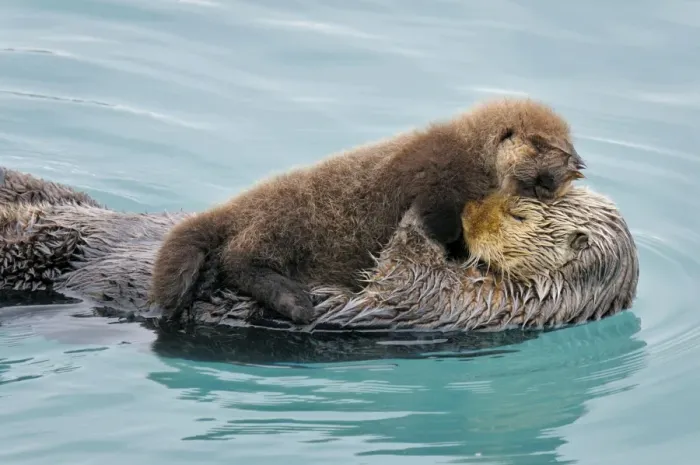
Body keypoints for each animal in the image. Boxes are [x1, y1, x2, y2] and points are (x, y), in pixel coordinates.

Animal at [0, 167, 636, 333]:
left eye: (520, 213)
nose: (463, 213)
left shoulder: (470, 305)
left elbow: (405, 277)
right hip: (56, 199)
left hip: (36, 253)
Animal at [149, 98, 586, 325]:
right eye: (546, 145)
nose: (575, 163)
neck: (476, 158)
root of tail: (239, 207)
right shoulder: (440, 177)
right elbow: (442, 219)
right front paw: (457, 246)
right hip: (284, 222)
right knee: (238, 260)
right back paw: (295, 302)